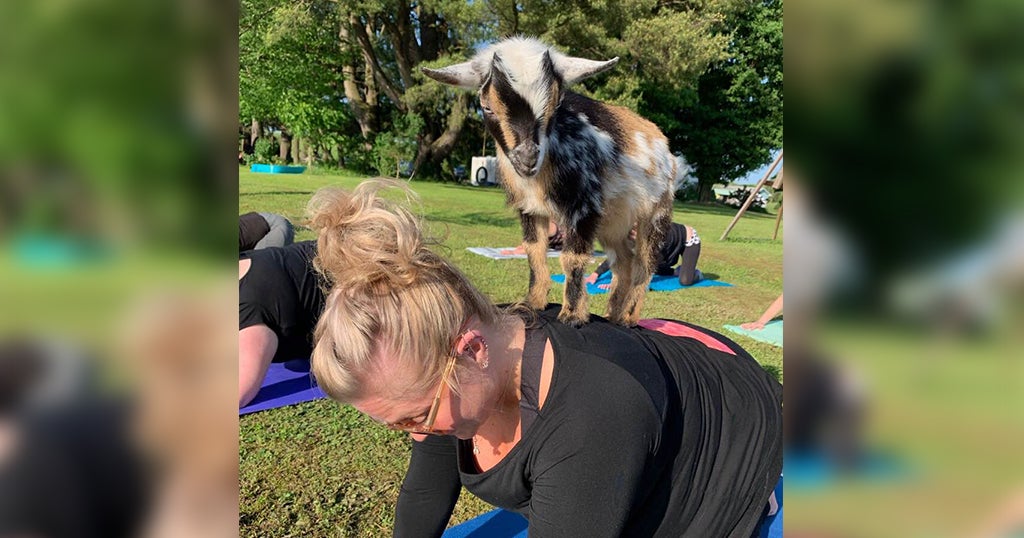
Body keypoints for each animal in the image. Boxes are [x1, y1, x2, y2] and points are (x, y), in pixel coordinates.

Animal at [425, 36, 679, 327]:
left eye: (556, 104)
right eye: (487, 106)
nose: (527, 159)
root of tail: (661, 141)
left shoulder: (584, 206)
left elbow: (573, 258)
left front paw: (572, 315)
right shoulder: (529, 208)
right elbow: (534, 251)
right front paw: (532, 302)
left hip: (657, 211)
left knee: (645, 262)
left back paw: (627, 317)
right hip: (613, 222)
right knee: (623, 262)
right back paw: (613, 313)